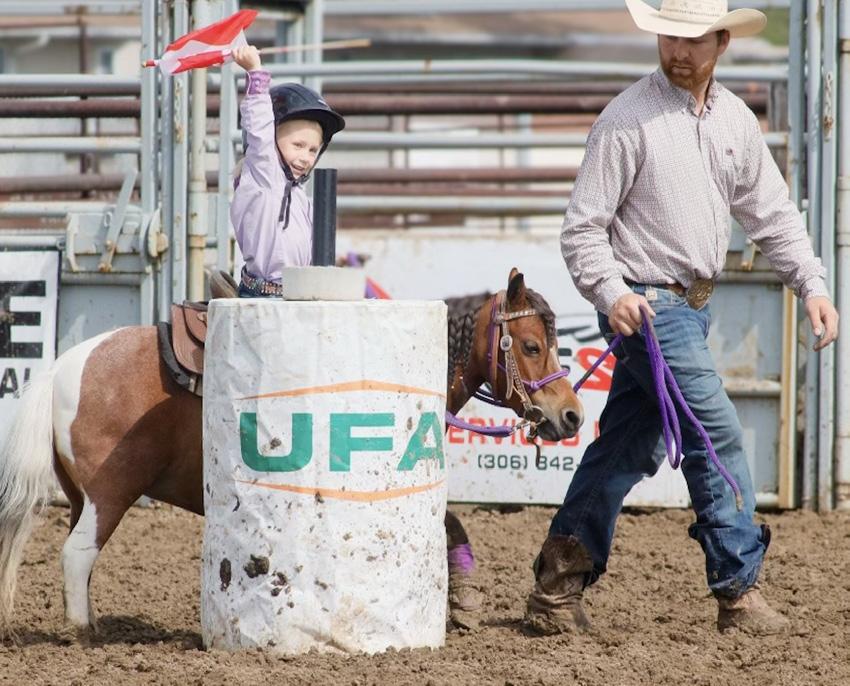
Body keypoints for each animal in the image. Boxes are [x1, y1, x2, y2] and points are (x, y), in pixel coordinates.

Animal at [0, 267, 583, 638]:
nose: (572, 415)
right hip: (111, 491)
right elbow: (451, 525)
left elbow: (453, 528)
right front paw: (463, 606)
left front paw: (462, 605)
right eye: (532, 346)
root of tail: (64, 366)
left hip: (82, 496)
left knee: (79, 560)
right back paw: (84, 635)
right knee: (77, 554)